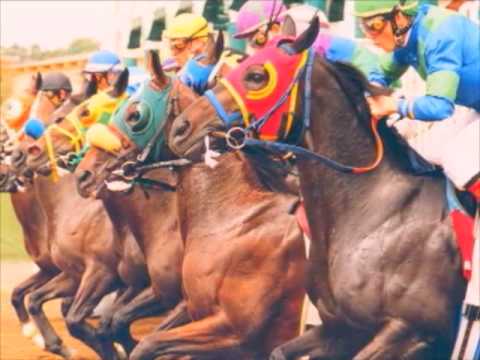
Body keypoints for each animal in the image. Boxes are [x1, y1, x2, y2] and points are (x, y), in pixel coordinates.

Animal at [76, 50, 308, 360]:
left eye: (135, 115)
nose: (83, 175)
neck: (231, 218)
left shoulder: (232, 330)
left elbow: (144, 340)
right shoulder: (175, 300)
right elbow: (114, 323)